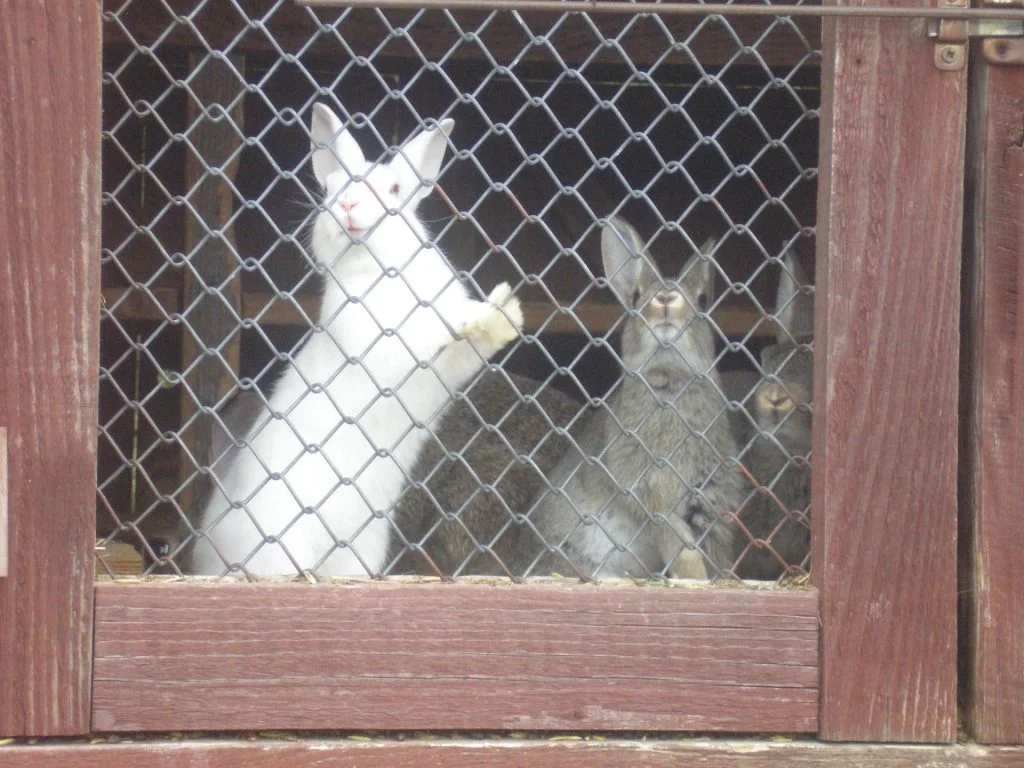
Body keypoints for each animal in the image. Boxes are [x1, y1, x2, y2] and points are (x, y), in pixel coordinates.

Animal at [192, 102, 524, 577]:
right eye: (331, 189)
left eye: (394, 189)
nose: (348, 204)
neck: (379, 271)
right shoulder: (380, 344)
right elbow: (422, 332)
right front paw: (476, 312)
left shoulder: (447, 369)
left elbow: (465, 348)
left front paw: (505, 312)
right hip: (277, 543)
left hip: (361, 548)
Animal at [509, 215, 745, 577]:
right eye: (635, 297)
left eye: (703, 300)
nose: (665, 301)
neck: (668, 384)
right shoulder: (651, 490)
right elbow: (680, 545)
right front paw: (694, 579)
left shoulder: (710, 495)